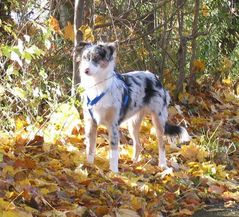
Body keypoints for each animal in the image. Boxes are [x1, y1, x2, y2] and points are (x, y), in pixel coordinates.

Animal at [78, 41, 190, 172]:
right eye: (85, 58)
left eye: (96, 58)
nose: (85, 70)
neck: (98, 87)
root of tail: (155, 77)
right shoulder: (91, 123)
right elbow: (90, 149)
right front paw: (89, 165)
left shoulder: (113, 125)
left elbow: (113, 152)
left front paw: (114, 172)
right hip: (133, 123)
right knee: (138, 144)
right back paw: (134, 163)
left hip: (158, 120)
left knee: (161, 144)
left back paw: (162, 164)